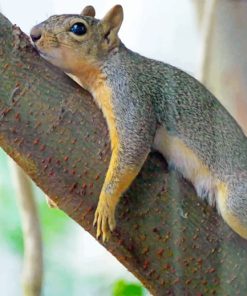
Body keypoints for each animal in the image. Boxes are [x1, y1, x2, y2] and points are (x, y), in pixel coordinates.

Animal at [29, 4, 247, 242]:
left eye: (78, 28)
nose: (33, 34)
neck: (106, 66)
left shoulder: (131, 94)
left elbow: (133, 147)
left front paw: (106, 204)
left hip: (236, 202)